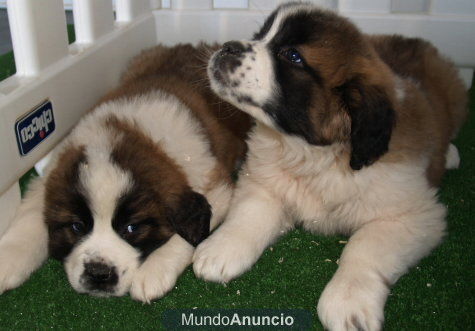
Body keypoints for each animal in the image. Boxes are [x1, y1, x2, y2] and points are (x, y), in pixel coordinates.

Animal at [0, 44, 251, 304]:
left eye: (132, 228)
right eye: (77, 227)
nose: (98, 273)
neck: (128, 133)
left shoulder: (216, 186)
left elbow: (186, 235)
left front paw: (153, 270)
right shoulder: (52, 173)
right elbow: (31, 215)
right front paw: (9, 256)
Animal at [193, 1, 468, 330]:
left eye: (292, 56)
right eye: (260, 35)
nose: (228, 46)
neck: (313, 153)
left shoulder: (412, 216)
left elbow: (364, 245)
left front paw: (347, 301)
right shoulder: (264, 182)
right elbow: (249, 214)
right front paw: (220, 249)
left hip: (454, 99)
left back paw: (451, 154)